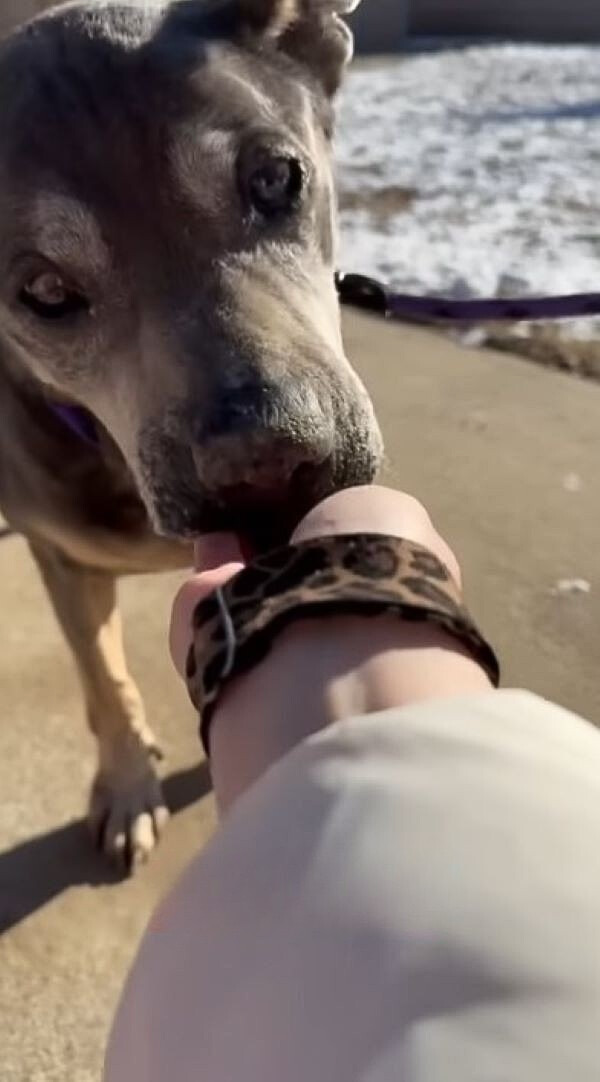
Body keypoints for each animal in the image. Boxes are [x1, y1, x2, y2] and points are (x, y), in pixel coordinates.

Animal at [0, 0, 382, 865]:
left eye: (275, 179)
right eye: (42, 290)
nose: (269, 459)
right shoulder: (63, 558)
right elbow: (103, 678)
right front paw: (127, 786)